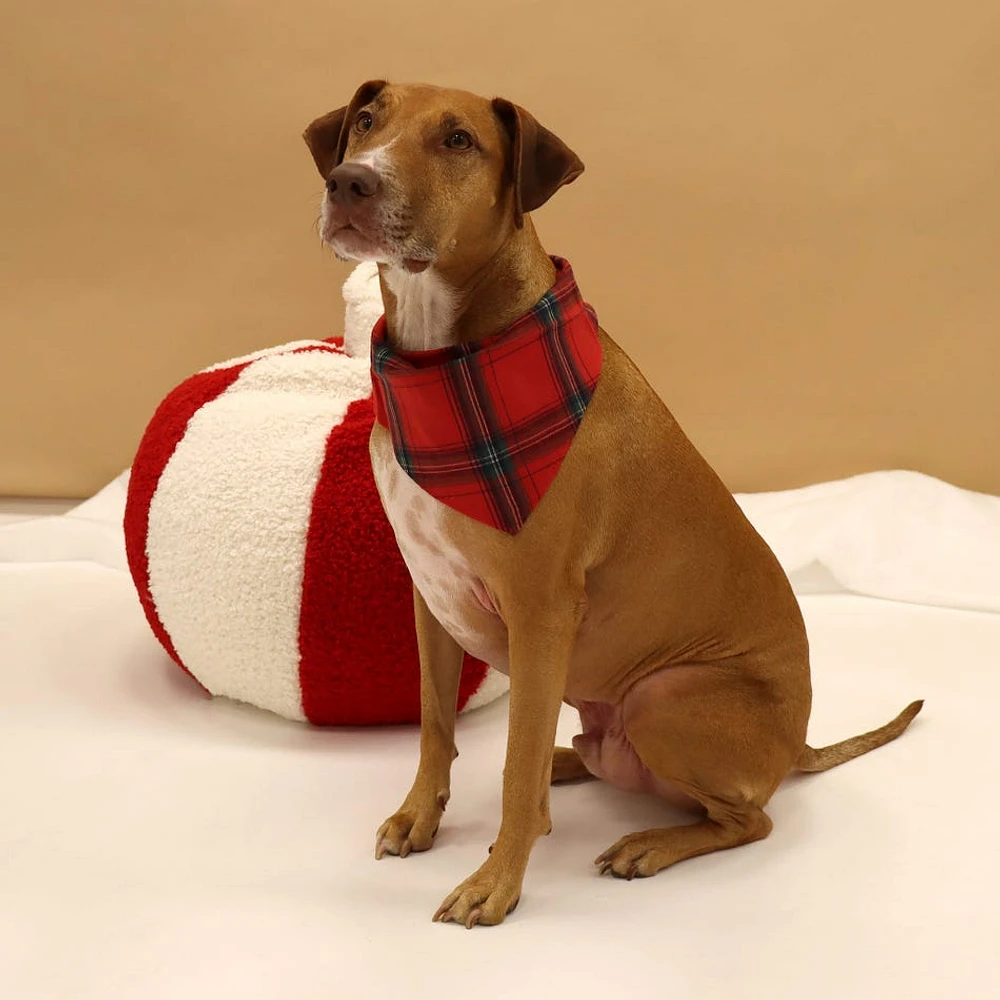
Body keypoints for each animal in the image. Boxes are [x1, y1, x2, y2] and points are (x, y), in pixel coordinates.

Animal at [302, 80, 920, 928]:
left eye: (459, 139)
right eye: (366, 122)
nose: (351, 181)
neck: (446, 361)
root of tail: (795, 745)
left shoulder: (539, 612)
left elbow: (512, 769)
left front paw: (496, 882)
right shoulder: (429, 593)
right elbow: (436, 724)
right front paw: (420, 817)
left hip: (666, 696)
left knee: (749, 819)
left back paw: (647, 844)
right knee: (585, 755)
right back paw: (570, 765)